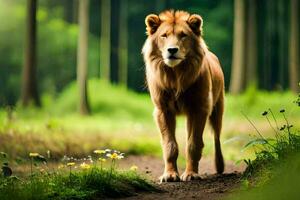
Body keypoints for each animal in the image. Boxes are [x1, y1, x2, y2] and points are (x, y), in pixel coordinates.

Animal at [143, 10, 225, 182]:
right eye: (164, 35)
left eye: (183, 35)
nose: (172, 50)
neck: (176, 75)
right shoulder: (163, 110)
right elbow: (170, 145)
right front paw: (170, 175)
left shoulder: (200, 108)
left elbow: (194, 144)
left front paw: (191, 174)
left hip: (217, 110)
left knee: (217, 139)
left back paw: (220, 167)